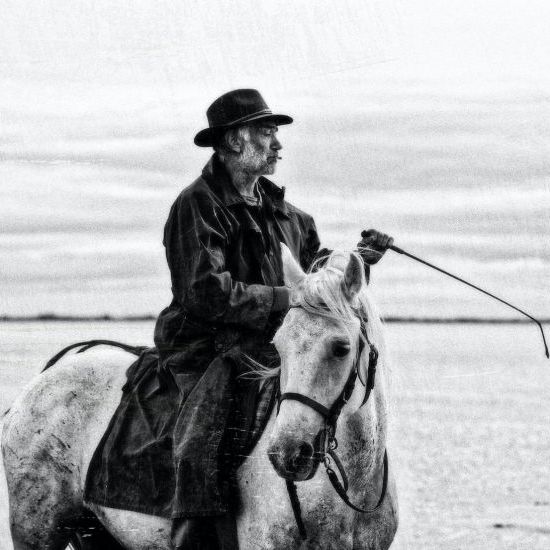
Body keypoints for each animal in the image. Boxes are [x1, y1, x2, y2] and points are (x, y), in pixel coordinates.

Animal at [1, 251, 396, 550]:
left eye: (340, 348)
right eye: (279, 346)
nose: (287, 453)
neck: (351, 494)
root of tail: (35, 386)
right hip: (38, 530)